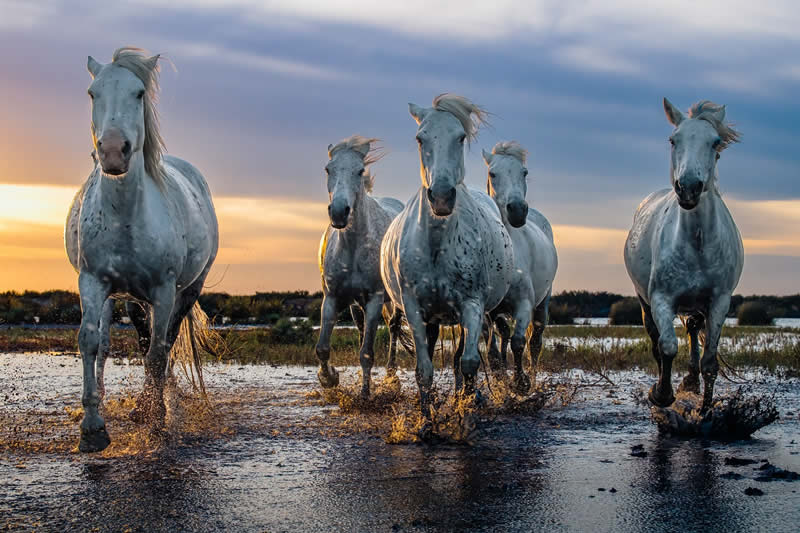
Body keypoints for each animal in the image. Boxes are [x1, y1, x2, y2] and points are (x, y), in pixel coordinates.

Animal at [65, 47, 219, 450]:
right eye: (92, 93)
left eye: (138, 93)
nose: (113, 152)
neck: (126, 216)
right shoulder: (92, 282)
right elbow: (91, 342)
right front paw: (92, 428)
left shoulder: (164, 291)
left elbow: (157, 353)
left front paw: (157, 417)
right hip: (128, 298)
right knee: (135, 339)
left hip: (186, 289)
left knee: (163, 343)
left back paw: (156, 403)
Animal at [318, 135, 410, 396]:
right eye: (328, 169)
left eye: (360, 171)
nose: (339, 212)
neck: (352, 248)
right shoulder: (332, 298)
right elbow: (323, 348)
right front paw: (329, 378)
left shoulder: (375, 300)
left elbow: (367, 353)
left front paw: (365, 393)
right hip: (355, 305)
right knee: (360, 329)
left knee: (393, 328)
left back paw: (391, 376)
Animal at [380, 94, 512, 420]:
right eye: (420, 138)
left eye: (460, 137)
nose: (441, 197)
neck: (437, 245)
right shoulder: (414, 308)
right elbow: (424, 370)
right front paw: (426, 421)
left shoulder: (472, 305)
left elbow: (468, 364)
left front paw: (466, 409)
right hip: (431, 316)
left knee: (462, 358)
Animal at [482, 143, 556, 392]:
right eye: (493, 173)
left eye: (524, 172)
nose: (516, 210)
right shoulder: (487, 311)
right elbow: (493, 349)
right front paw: (501, 378)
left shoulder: (524, 304)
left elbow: (518, 342)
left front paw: (521, 383)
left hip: (543, 303)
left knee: (535, 342)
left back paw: (532, 379)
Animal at [624, 98, 744, 412]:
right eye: (673, 139)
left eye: (715, 142)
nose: (689, 188)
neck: (697, 243)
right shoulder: (661, 298)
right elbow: (666, 347)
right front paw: (661, 394)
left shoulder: (719, 301)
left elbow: (710, 361)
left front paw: (705, 410)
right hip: (645, 300)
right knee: (656, 339)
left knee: (692, 328)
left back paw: (691, 381)